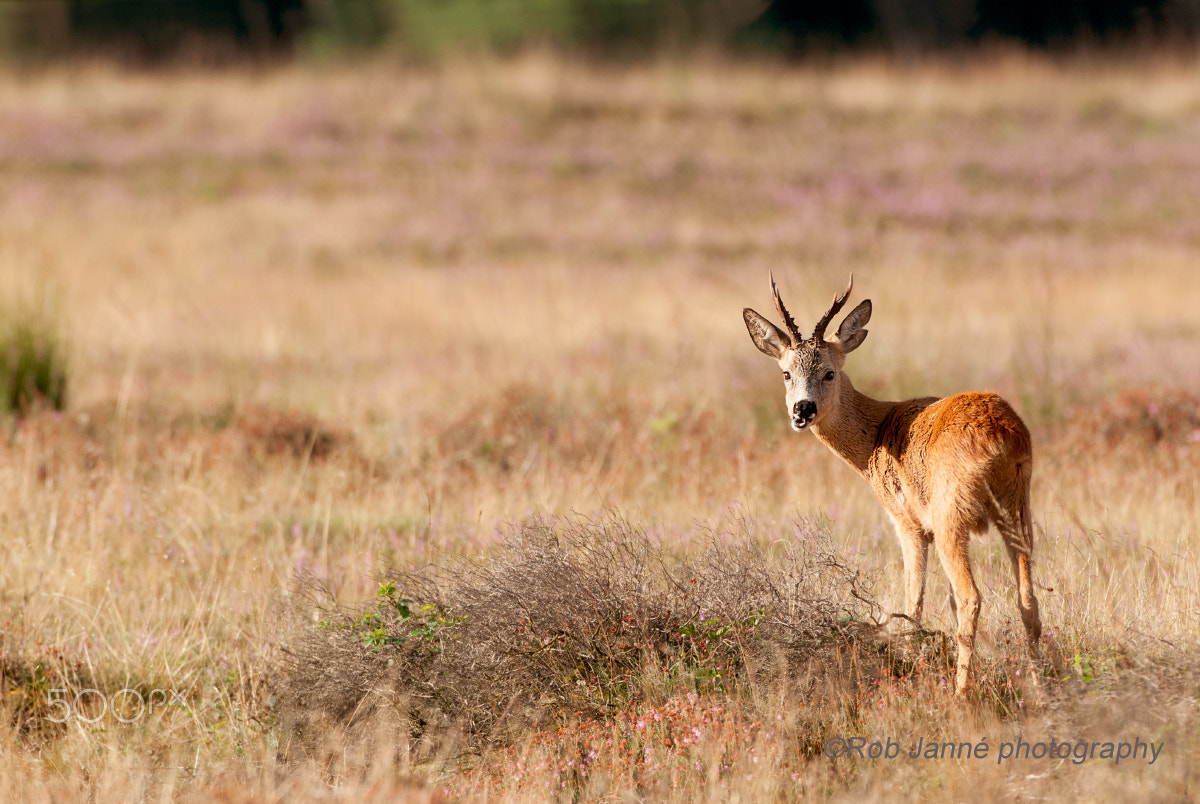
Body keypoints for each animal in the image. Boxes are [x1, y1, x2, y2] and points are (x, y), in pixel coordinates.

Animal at [744, 277, 1036, 691]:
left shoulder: (909, 524)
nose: (803, 410)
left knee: (971, 597)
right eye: (786, 373)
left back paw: (962, 694)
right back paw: (1043, 686)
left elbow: (914, 603)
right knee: (1027, 598)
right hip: (1017, 506)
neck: (876, 434)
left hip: (950, 516)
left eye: (829, 372)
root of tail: (1001, 434)